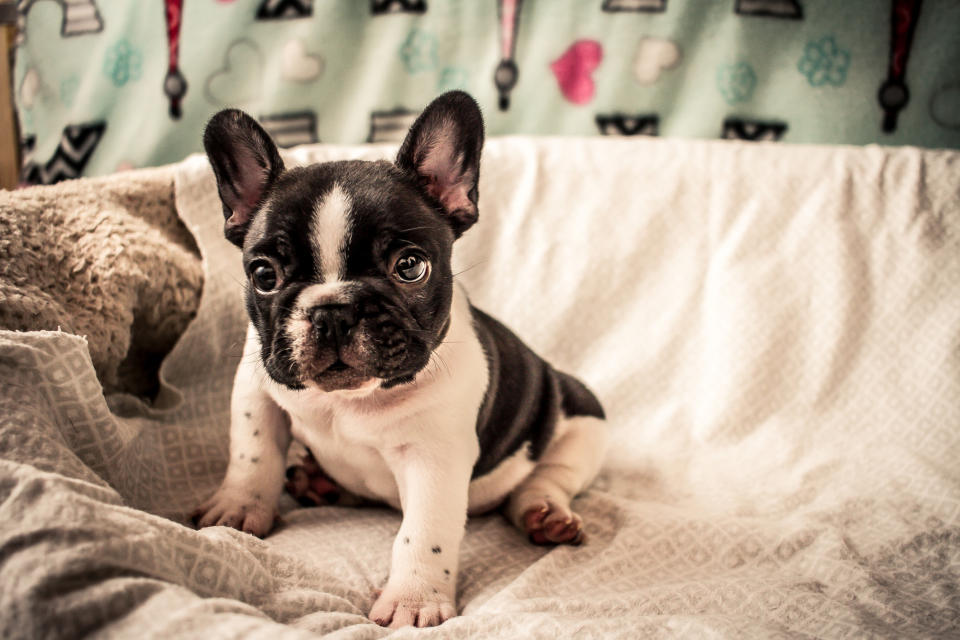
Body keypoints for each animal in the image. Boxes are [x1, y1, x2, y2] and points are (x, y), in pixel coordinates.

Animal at [195, 92, 608, 628]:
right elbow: (253, 452)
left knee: (550, 474)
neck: (350, 401)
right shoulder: (257, 390)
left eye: (410, 267)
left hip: (582, 422)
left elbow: (424, 533)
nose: (332, 311)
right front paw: (240, 507)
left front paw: (414, 600)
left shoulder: (435, 457)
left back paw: (544, 513)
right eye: (264, 275)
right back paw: (320, 484)